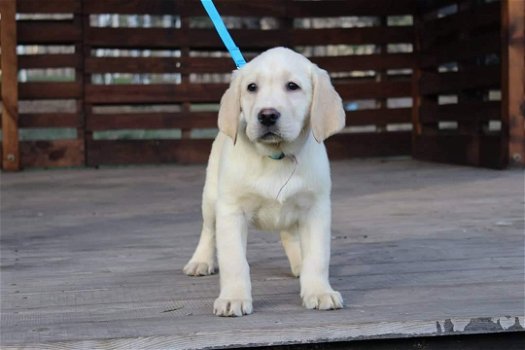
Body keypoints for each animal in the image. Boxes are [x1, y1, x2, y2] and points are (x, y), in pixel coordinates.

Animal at [183, 47, 344, 318]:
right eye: (251, 87)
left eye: (292, 86)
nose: (267, 115)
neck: (276, 155)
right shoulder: (231, 211)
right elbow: (234, 261)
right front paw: (233, 298)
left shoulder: (316, 209)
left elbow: (317, 257)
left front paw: (319, 291)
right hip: (211, 198)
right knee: (208, 231)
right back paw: (200, 261)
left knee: (289, 235)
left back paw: (298, 263)